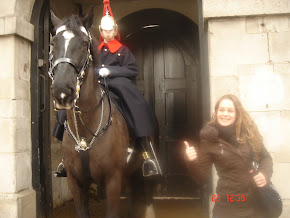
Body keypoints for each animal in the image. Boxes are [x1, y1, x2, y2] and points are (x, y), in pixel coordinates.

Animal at [49, 6, 159, 218]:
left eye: (84, 43)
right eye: (53, 43)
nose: (62, 92)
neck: (85, 132)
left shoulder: (112, 181)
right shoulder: (75, 183)